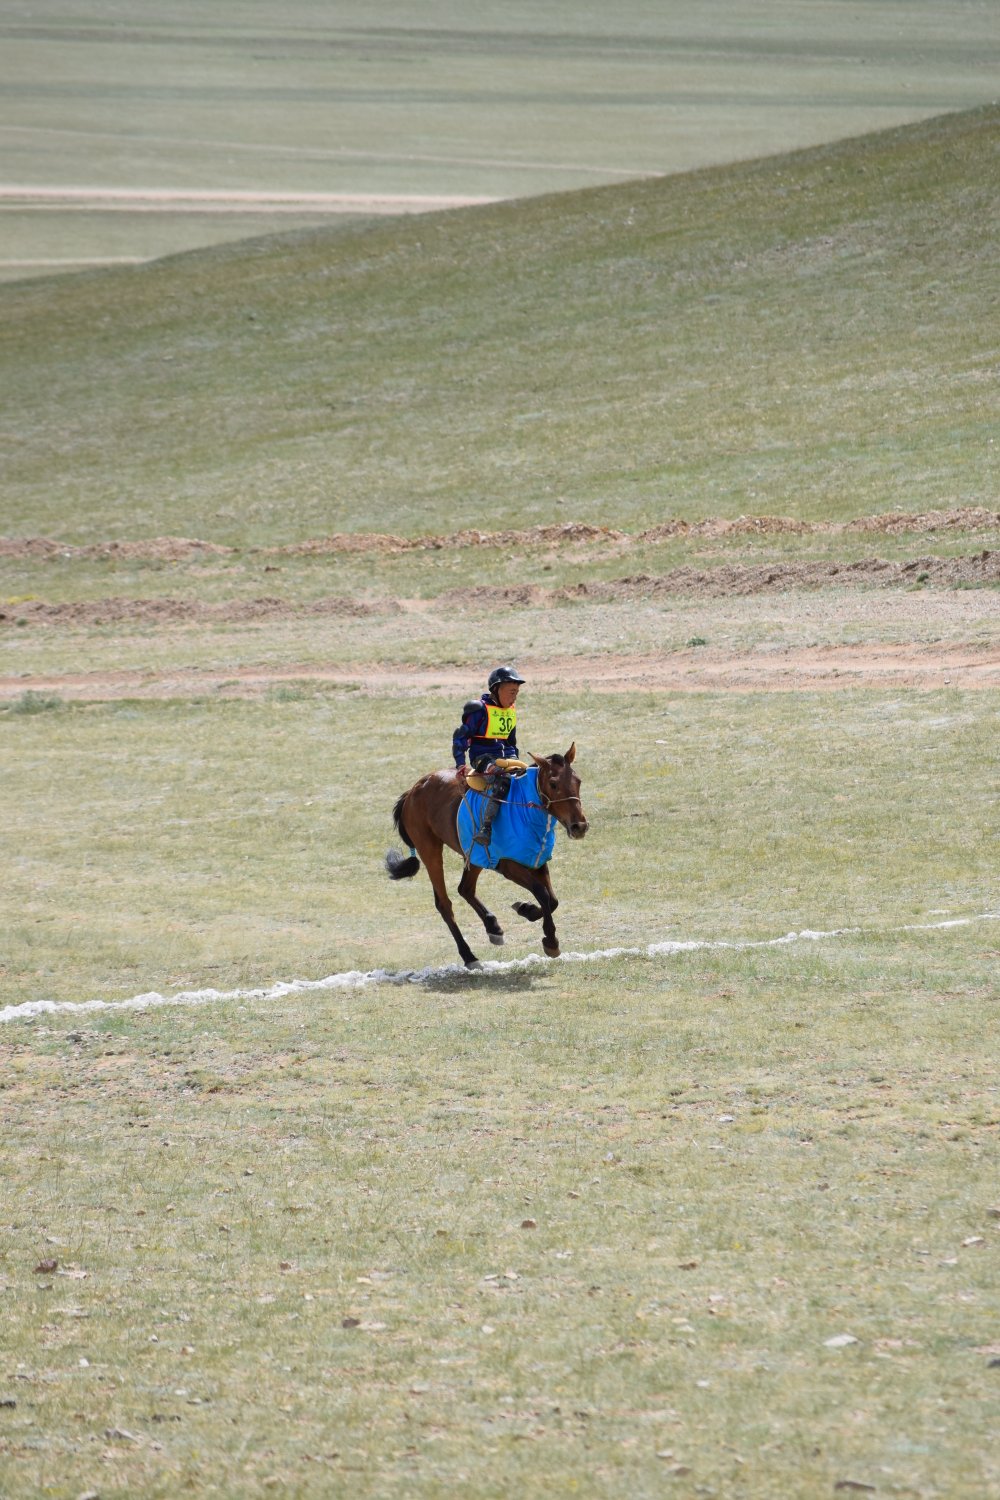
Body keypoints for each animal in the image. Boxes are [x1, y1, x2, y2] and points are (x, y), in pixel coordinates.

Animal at [385, 745, 588, 968]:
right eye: (553, 783)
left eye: (578, 781)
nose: (579, 826)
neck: (524, 808)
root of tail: (413, 791)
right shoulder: (509, 865)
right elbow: (542, 894)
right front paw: (551, 941)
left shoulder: (537, 861)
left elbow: (552, 900)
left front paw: (526, 909)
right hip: (430, 850)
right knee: (444, 903)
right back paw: (469, 955)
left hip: (475, 853)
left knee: (465, 889)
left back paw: (493, 927)